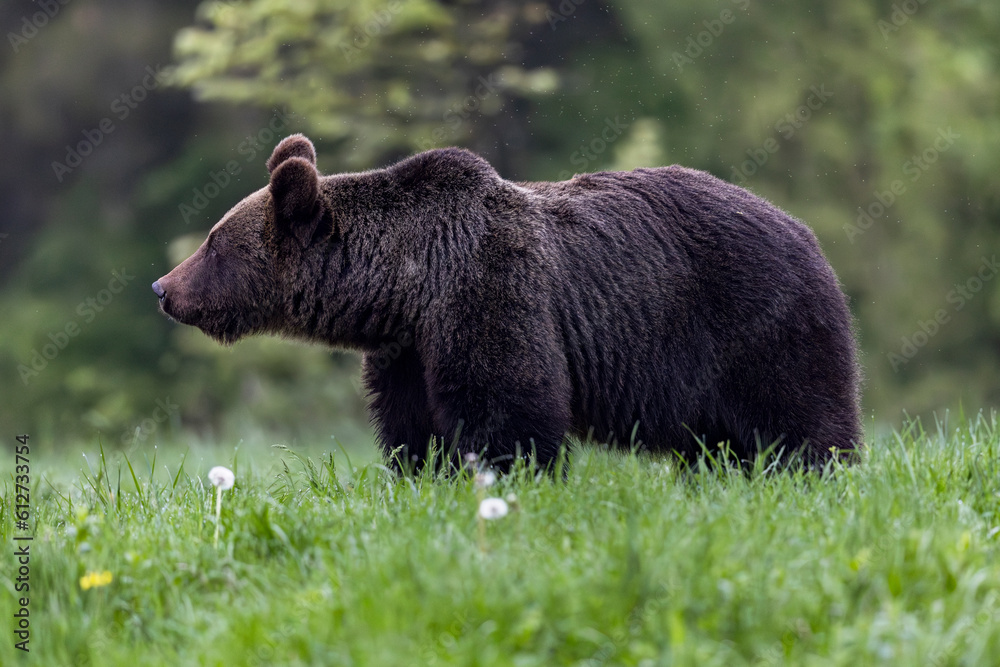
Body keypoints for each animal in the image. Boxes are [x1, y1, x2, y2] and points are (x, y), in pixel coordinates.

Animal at [153, 133, 862, 472]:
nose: (163, 288)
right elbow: (413, 425)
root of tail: (808, 234)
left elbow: (508, 407)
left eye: (213, 242)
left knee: (802, 422)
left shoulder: (490, 292)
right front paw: (423, 476)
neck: (407, 285)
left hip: (755, 323)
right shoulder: (407, 349)